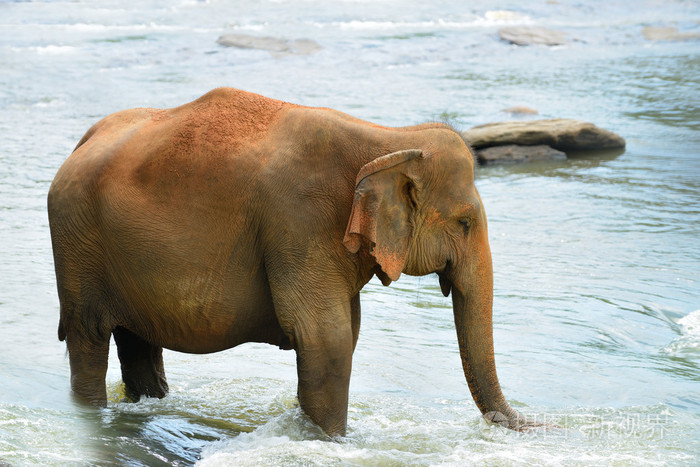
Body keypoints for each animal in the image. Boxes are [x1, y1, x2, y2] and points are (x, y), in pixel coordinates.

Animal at [48, 87, 533, 436]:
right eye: (465, 223)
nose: (523, 424)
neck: (388, 138)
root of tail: (79, 144)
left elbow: (344, 334)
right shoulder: (300, 222)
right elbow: (326, 339)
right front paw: (335, 442)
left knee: (137, 341)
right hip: (76, 243)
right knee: (89, 337)